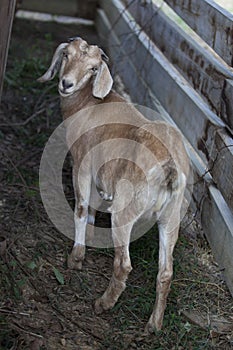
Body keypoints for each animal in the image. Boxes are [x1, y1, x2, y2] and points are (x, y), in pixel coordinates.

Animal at [38, 36, 190, 334]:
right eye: (66, 55)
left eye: (93, 68)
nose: (66, 84)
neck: (88, 103)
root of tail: (169, 167)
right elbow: (92, 208)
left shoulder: (82, 165)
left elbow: (81, 208)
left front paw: (76, 257)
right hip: (171, 217)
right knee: (166, 271)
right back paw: (153, 325)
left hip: (125, 212)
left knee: (123, 264)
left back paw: (103, 304)